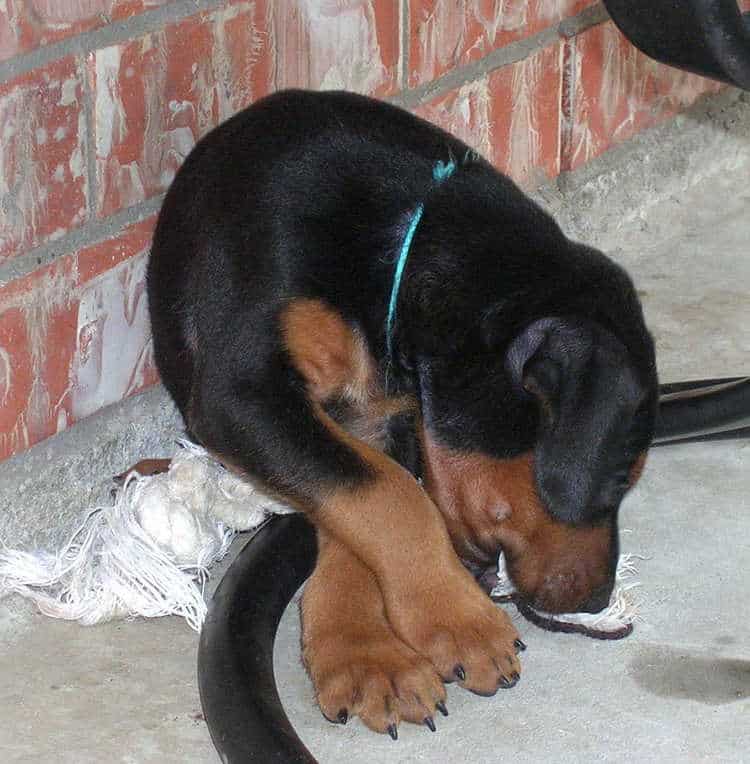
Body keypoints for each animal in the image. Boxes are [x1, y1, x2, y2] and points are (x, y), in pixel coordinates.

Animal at [147, 89, 656, 740]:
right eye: (618, 480)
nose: (597, 599)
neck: (399, 243)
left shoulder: (372, 414)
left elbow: (360, 506)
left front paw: (365, 655)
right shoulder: (241, 392)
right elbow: (388, 496)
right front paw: (455, 620)